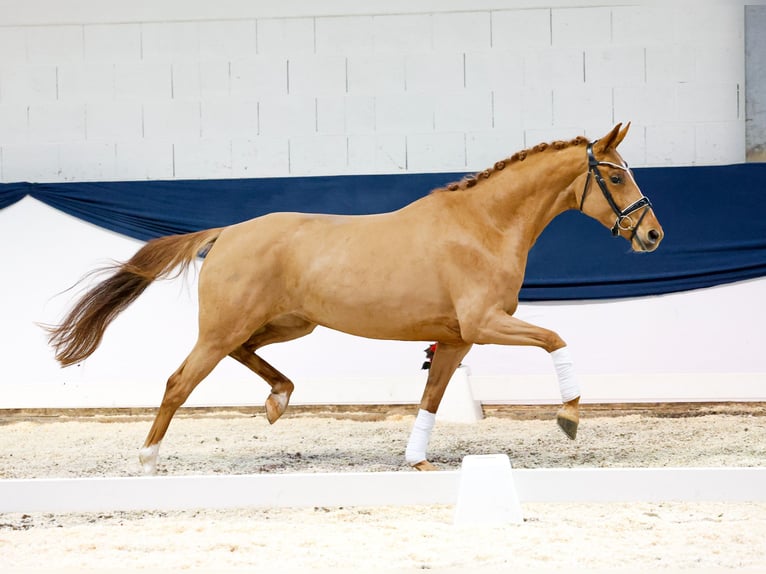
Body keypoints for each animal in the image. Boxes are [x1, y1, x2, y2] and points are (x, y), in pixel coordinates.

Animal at [45, 124, 664, 474]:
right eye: (615, 175)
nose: (653, 235)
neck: (483, 226)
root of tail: (226, 233)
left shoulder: (458, 339)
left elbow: (433, 397)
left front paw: (417, 460)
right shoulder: (484, 324)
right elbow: (556, 338)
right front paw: (569, 417)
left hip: (289, 324)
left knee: (246, 354)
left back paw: (279, 399)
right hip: (224, 329)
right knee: (179, 381)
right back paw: (149, 461)